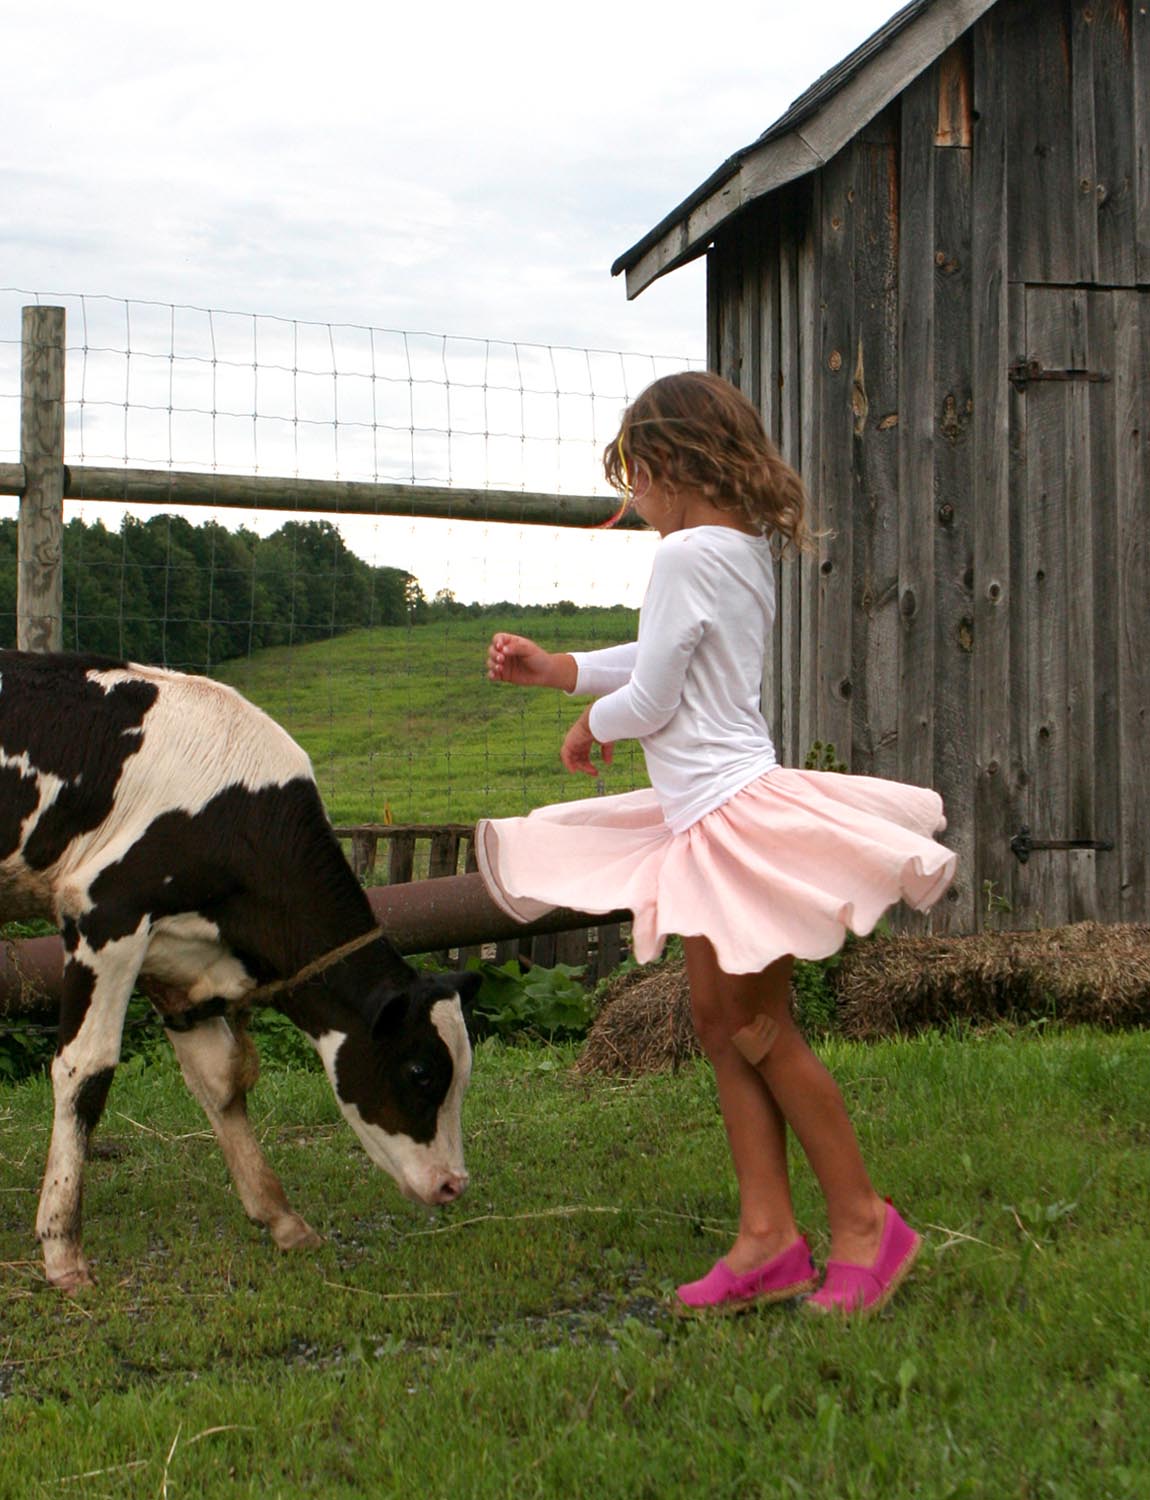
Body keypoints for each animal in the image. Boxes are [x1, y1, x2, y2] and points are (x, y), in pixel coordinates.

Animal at [0, 651, 476, 1296]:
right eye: (420, 1071)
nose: (454, 1184)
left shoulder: (178, 967)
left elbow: (218, 1081)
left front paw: (281, 1217)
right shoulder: (105, 916)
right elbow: (86, 1073)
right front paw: (61, 1248)